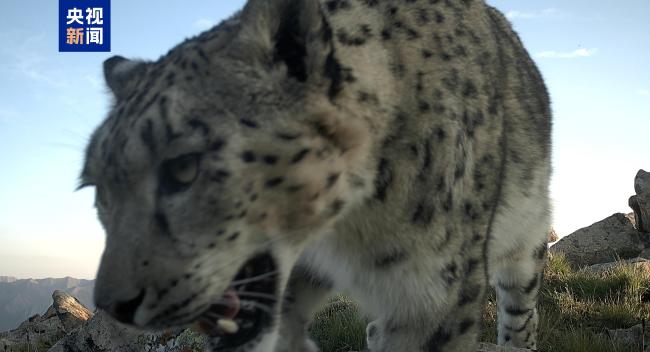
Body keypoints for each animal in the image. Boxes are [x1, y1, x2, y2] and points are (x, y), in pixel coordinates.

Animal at [79, 1, 548, 350]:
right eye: (99, 191)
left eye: (184, 166)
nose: (114, 305)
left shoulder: (437, 295)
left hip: (526, 243)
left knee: (522, 314)